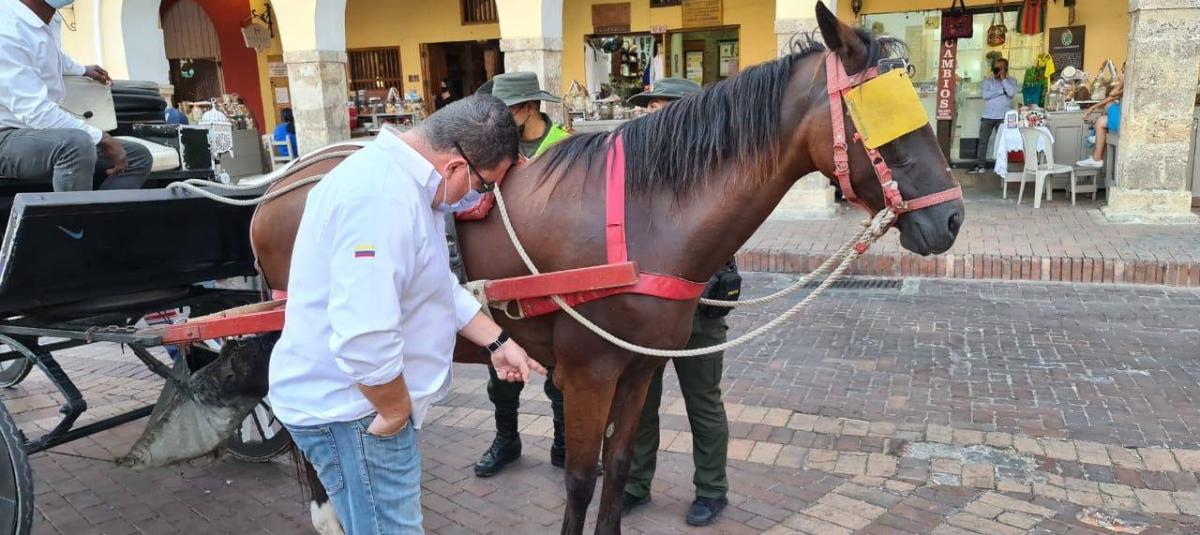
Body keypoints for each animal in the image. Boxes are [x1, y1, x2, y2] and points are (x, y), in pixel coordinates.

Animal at [248, 3, 960, 530]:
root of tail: (279, 188)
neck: (643, 218)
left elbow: (617, 471)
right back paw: (326, 510)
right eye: (884, 112)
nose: (951, 219)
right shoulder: (590, 374)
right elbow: (581, 479)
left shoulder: (642, 369)